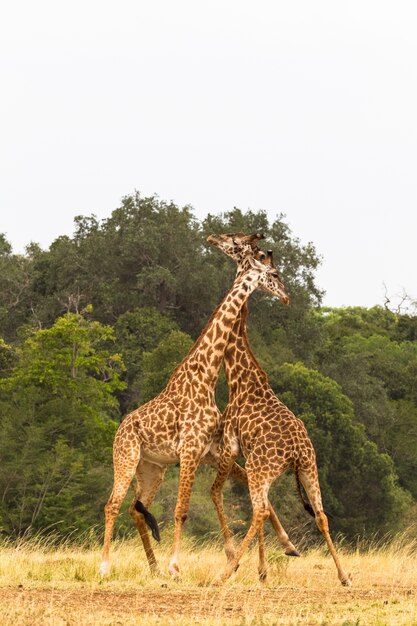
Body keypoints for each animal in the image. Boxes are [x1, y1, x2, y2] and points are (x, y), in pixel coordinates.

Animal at [99, 246, 290, 576]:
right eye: (274, 274)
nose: (287, 296)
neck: (206, 376)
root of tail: (119, 429)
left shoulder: (209, 451)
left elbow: (249, 493)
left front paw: (287, 545)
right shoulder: (189, 450)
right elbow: (181, 511)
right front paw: (176, 566)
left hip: (152, 469)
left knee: (135, 509)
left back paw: (154, 568)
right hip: (126, 458)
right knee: (112, 505)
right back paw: (105, 567)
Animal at [206, 230, 350, 584]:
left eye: (233, 241)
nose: (212, 237)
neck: (239, 375)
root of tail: (295, 451)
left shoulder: (231, 446)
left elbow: (221, 494)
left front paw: (257, 566)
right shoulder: (246, 456)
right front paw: (266, 566)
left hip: (266, 468)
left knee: (257, 509)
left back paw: (224, 573)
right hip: (309, 467)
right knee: (321, 515)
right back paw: (344, 576)